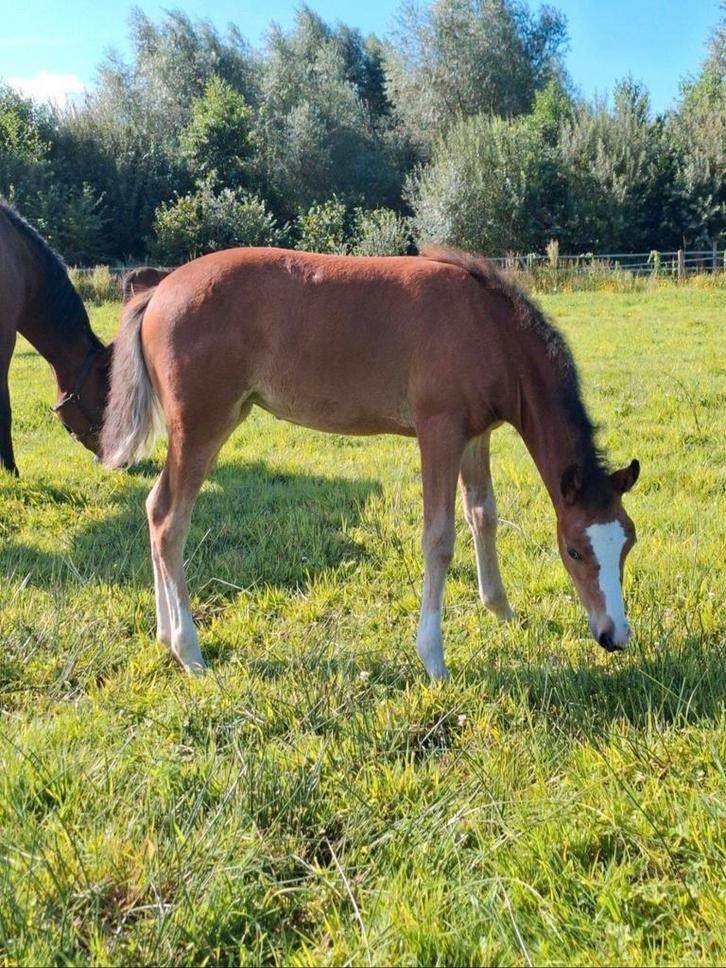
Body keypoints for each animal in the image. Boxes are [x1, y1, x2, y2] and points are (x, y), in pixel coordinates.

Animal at [100, 245, 640, 678]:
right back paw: (189, 651)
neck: (487, 327)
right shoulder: (439, 431)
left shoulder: (475, 435)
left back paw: (164, 636)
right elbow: (439, 538)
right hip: (202, 425)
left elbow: (483, 514)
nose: (614, 635)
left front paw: (501, 610)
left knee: (153, 507)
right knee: (171, 521)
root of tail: (159, 291)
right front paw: (433, 658)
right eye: (574, 550)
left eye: (628, 544)